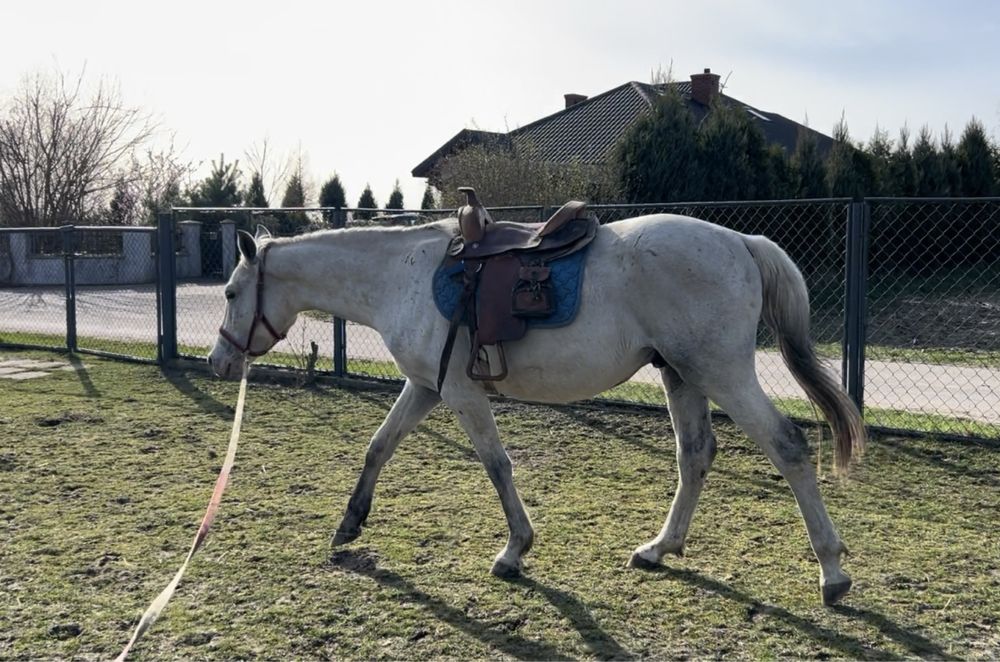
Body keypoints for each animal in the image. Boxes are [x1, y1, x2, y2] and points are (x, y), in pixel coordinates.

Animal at [207, 214, 864, 608]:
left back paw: (832, 572)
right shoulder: (424, 387)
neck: (402, 276)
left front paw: (515, 550)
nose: (218, 361)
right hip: (682, 375)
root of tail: (740, 243)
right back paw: (659, 548)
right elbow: (379, 445)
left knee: (787, 447)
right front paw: (349, 524)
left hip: (721, 372)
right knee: (696, 455)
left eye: (231, 292)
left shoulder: (460, 394)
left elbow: (497, 466)